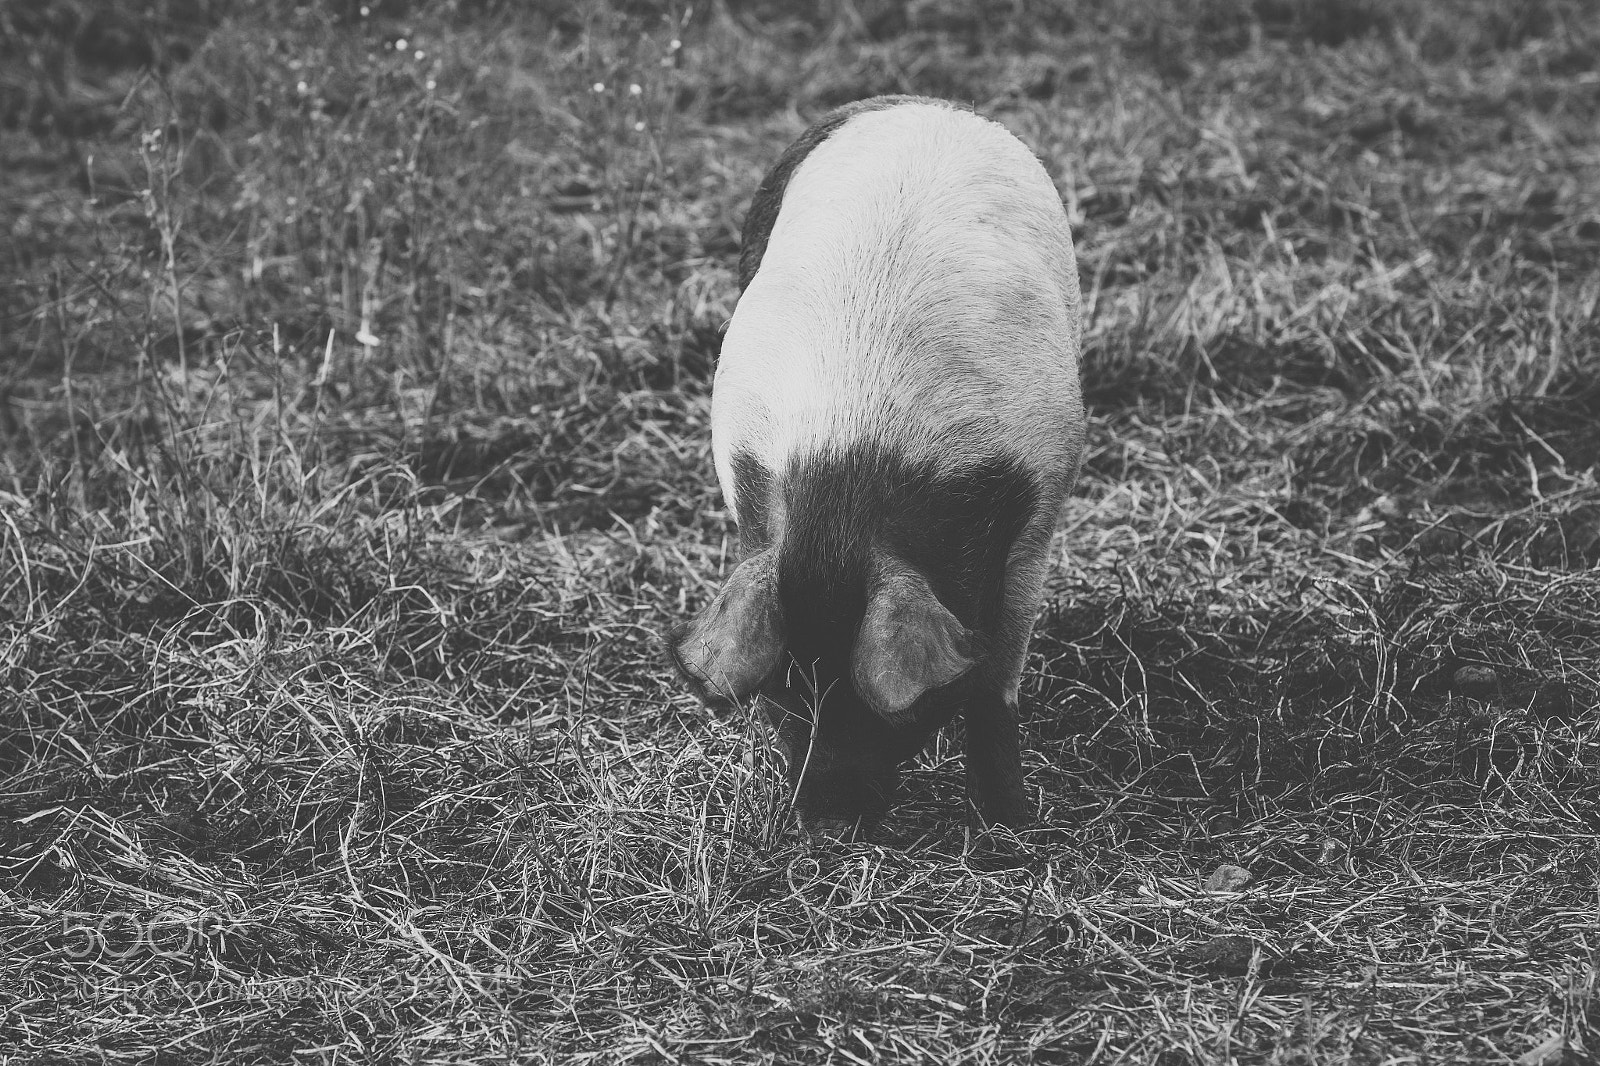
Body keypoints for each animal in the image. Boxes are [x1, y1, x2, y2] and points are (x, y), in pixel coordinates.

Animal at [668, 95, 1085, 838]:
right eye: (783, 699)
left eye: (878, 710)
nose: (825, 824)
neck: (855, 462)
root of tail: (921, 103)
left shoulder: (1041, 501)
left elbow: (995, 681)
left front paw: (1011, 827)